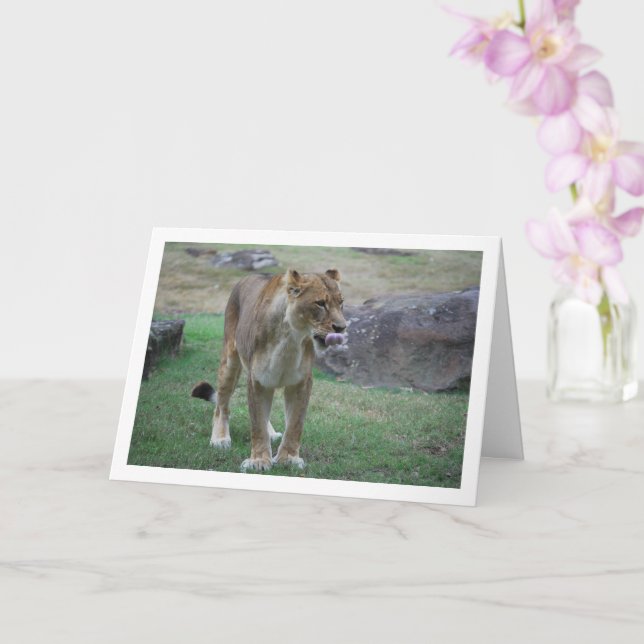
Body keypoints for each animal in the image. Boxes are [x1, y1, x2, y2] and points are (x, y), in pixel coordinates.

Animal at [191, 268, 347, 472]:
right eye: (320, 303)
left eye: (341, 303)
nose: (342, 327)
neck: (291, 339)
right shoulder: (257, 380)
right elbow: (257, 423)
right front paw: (259, 461)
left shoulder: (301, 382)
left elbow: (295, 424)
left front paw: (288, 459)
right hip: (230, 361)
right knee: (221, 405)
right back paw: (220, 439)